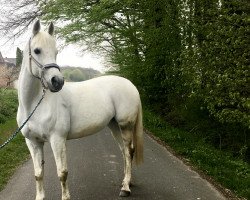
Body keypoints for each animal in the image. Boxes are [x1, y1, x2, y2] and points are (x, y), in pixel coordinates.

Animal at [17, 20, 143, 200]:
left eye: (56, 52)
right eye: (37, 50)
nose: (57, 81)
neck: (34, 105)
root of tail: (131, 85)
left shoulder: (57, 140)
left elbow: (62, 173)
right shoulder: (33, 143)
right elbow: (38, 174)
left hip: (125, 125)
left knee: (128, 151)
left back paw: (125, 188)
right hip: (114, 126)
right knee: (125, 152)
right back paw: (127, 182)